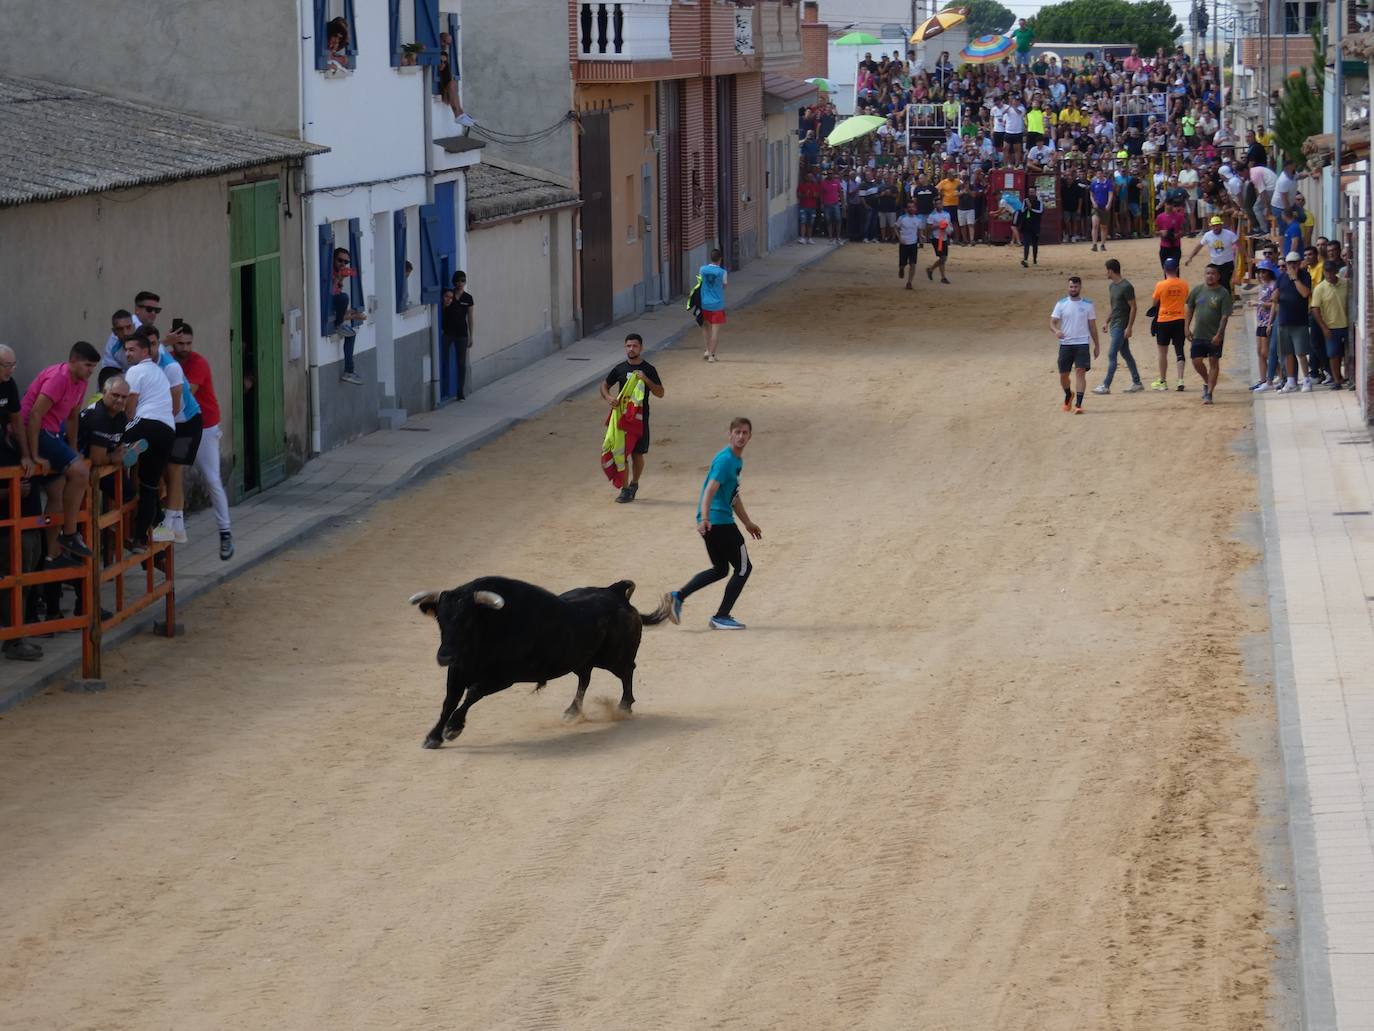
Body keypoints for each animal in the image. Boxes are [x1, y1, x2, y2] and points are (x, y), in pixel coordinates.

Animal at [406, 577, 670, 747]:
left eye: (468, 620)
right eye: (440, 619)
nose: (444, 656)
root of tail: (615, 592)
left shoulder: (503, 678)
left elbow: (471, 694)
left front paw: (453, 728)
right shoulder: (457, 671)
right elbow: (449, 702)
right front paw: (433, 737)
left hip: (614, 658)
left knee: (627, 672)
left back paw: (624, 706)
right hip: (582, 660)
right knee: (585, 679)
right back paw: (572, 711)